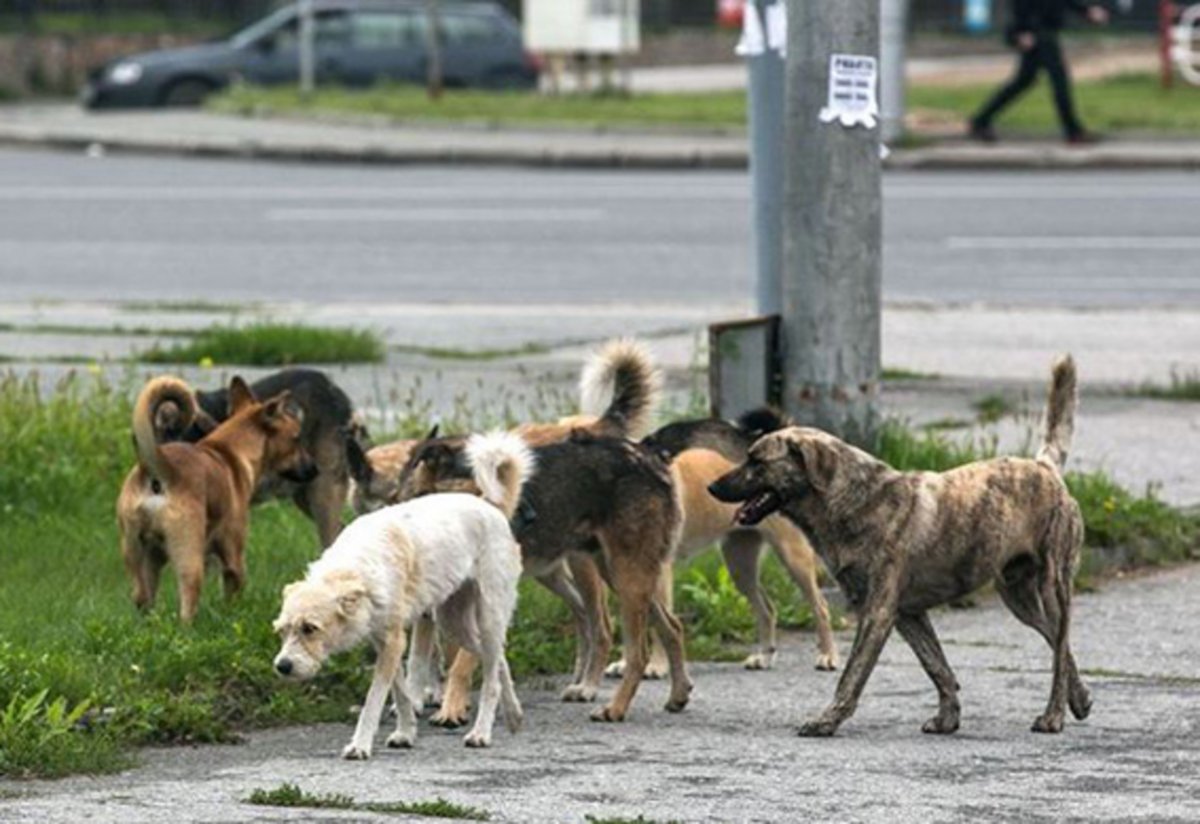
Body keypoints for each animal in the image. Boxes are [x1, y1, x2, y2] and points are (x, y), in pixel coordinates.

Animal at [113, 376, 314, 623]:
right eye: (297, 439)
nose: (315, 469)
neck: (230, 451)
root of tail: (158, 469)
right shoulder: (234, 556)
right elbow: (233, 591)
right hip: (189, 555)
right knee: (187, 600)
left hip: (137, 554)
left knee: (142, 597)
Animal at [276, 431, 535, 762]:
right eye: (282, 631)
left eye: (310, 628)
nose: (282, 667)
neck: (355, 568)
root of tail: (492, 506)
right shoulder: (387, 642)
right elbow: (400, 694)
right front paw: (405, 733)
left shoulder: (392, 642)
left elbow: (374, 699)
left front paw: (360, 744)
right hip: (453, 622)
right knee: (497, 659)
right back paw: (513, 714)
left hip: (487, 616)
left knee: (490, 677)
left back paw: (481, 732)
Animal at [705, 357, 1094, 738]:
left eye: (757, 461)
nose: (711, 487)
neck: (851, 500)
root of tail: (1044, 467)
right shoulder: (908, 614)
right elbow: (937, 667)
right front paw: (947, 718)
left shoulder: (877, 613)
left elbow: (852, 675)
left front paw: (827, 721)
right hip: (1018, 597)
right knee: (1059, 643)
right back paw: (1079, 698)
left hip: (1053, 585)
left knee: (1060, 646)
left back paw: (1053, 715)